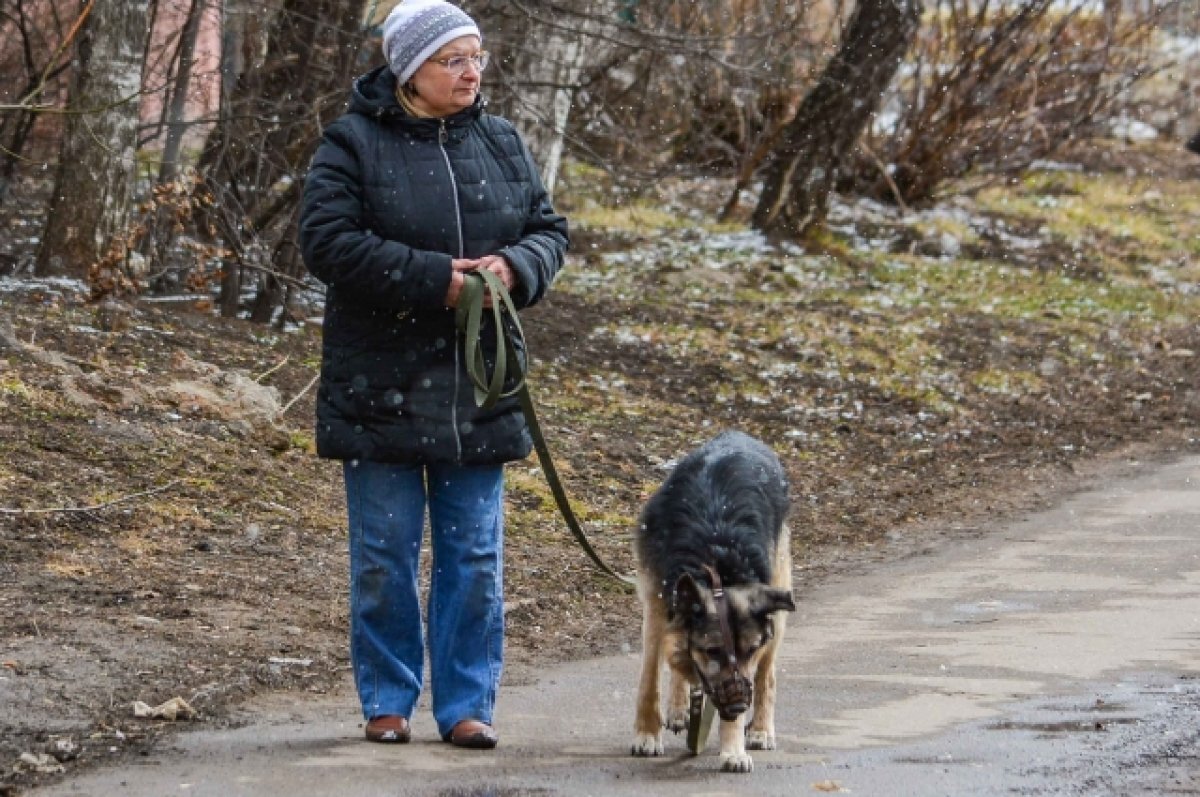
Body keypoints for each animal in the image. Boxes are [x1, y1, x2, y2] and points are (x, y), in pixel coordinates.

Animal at [628, 429, 796, 772]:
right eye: (713, 651)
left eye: (750, 650)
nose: (739, 705)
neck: (714, 566)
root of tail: (740, 434)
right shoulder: (656, 605)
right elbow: (649, 678)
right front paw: (647, 734)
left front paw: (734, 749)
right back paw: (679, 709)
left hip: (778, 594)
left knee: (767, 676)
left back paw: (761, 729)